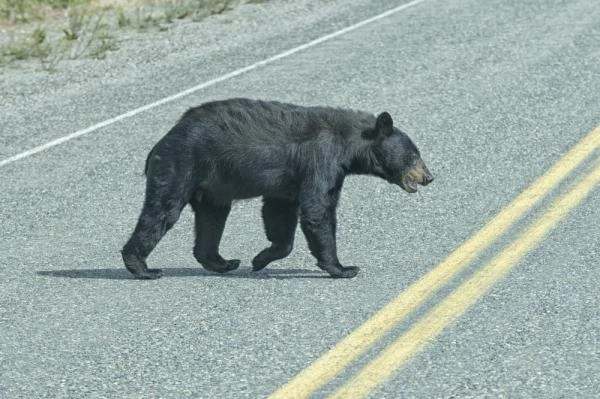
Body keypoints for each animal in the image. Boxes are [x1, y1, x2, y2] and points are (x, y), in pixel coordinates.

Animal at [122, 99, 432, 280]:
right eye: (414, 155)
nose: (429, 177)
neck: (349, 144)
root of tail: (161, 142)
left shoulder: (289, 182)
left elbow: (279, 212)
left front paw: (260, 259)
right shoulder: (321, 160)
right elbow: (317, 209)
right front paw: (343, 268)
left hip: (212, 186)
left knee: (212, 217)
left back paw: (223, 262)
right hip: (181, 165)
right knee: (162, 210)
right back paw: (143, 267)